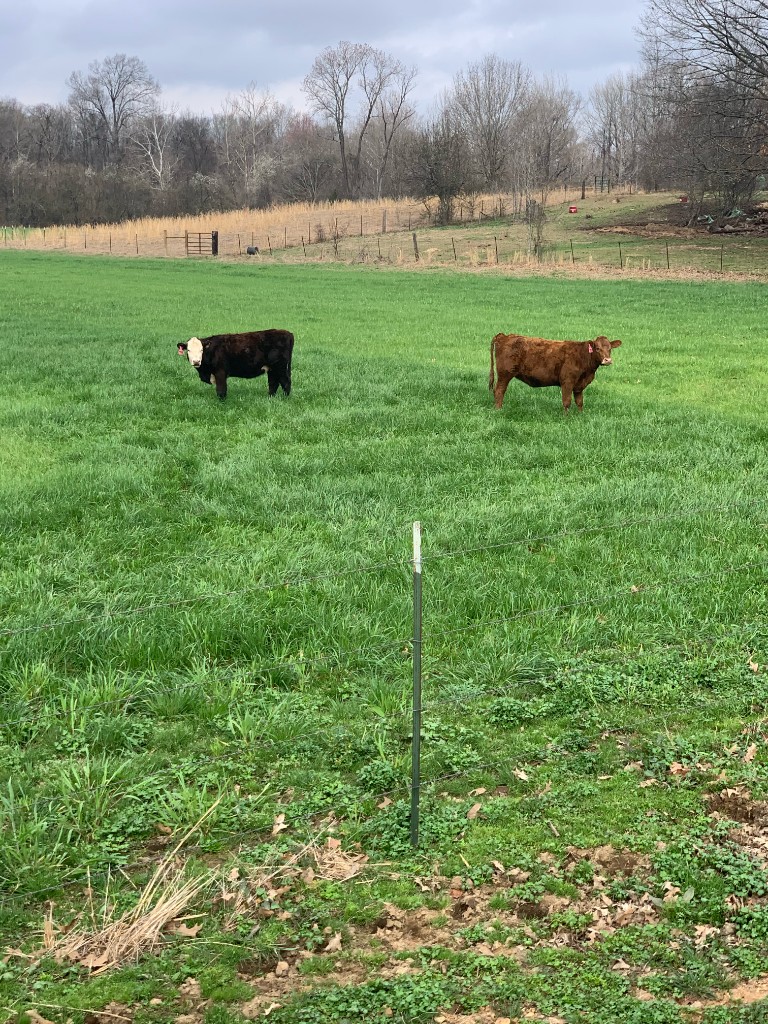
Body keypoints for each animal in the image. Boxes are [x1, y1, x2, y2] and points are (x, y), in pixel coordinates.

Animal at [489, 333, 621, 413]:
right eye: (597, 348)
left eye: (610, 349)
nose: (607, 360)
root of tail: (504, 336)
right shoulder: (567, 382)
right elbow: (567, 401)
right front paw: (566, 418)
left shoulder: (579, 385)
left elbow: (579, 402)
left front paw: (580, 415)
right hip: (505, 374)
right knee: (499, 391)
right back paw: (498, 409)